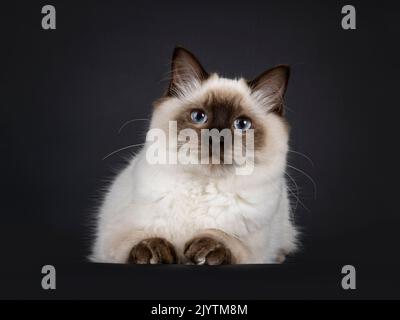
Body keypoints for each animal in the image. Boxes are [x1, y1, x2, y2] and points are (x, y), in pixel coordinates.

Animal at [90, 46, 296, 264]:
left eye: (242, 124)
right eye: (198, 116)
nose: (217, 139)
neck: (202, 187)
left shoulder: (253, 250)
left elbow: (223, 239)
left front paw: (205, 251)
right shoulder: (110, 241)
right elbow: (138, 240)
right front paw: (153, 252)